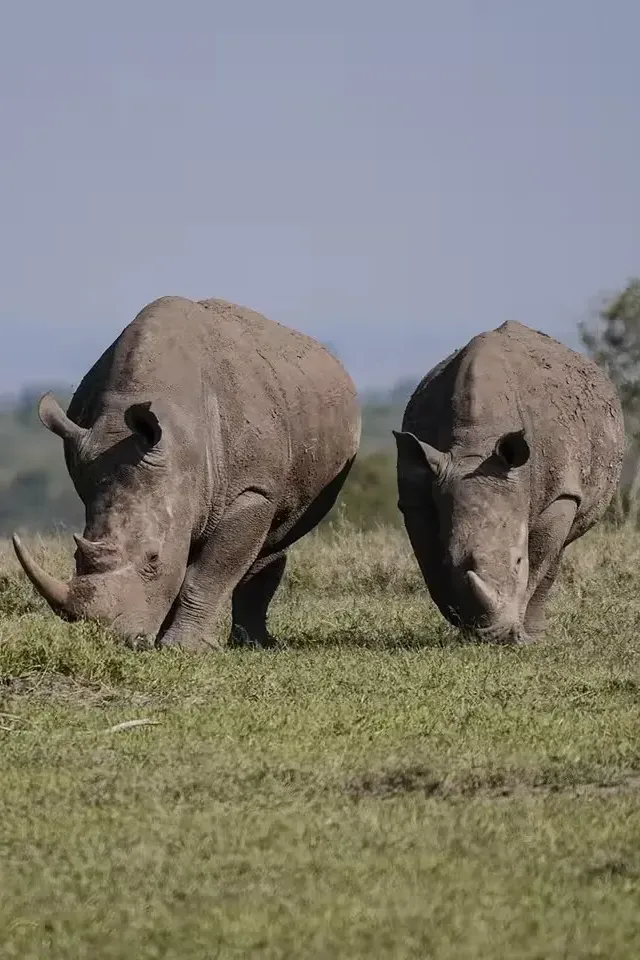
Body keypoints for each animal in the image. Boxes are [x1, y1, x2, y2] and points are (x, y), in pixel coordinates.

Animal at [13, 296, 361, 650]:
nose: (120, 639)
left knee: (275, 539)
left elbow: (208, 572)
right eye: (75, 555)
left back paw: (254, 644)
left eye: (153, 558)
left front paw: (183, 648)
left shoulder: (252, 491)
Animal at [393, 320, 624, 643]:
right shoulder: (419, 492)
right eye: (451, 561)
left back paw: (536, 632)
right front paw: (462, 624)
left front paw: (519, 634)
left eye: (517, 561)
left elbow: (537, 560)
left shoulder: (559, 493)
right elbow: (430, 561)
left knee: (558, 549)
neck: (475, 446)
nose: (494, 637)